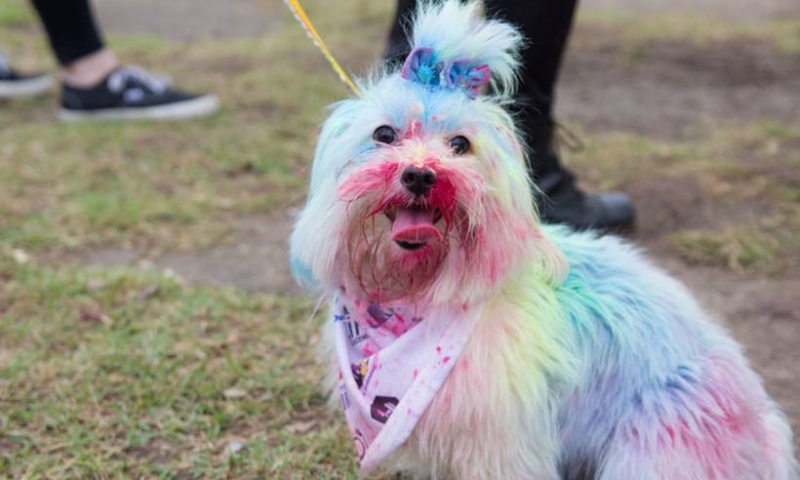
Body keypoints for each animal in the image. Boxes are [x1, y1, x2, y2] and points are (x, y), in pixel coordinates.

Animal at [290, 1, 796, 478]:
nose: (420, 174)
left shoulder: (501, 440)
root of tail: (764, 431)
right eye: (384, 134)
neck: (416, 298)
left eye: (460, 145)